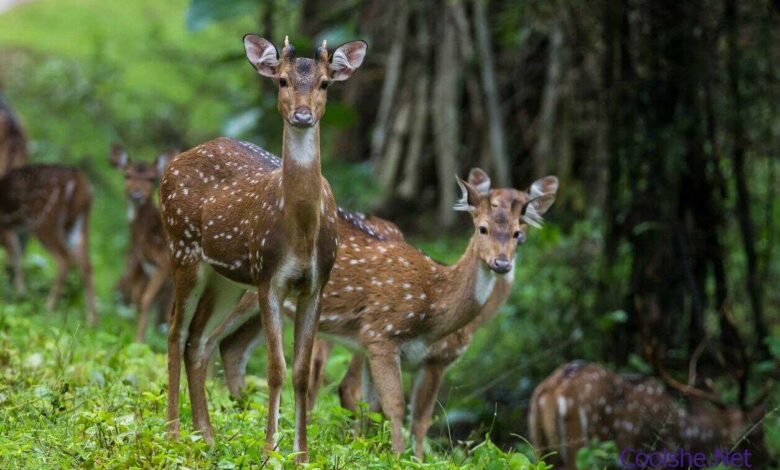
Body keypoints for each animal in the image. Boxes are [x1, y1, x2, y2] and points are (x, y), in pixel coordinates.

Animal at [0, 163, 96, 324]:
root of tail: (79, 179)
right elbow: (17, 257)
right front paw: (18, 294)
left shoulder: (6, 228)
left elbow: (15, 257)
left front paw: (19, 296)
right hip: (78, 224)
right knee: (86, 264)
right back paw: (91, 320)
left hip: (45, 219)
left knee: (64, 259)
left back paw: (48, 309)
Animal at [109, 143, 174, 342]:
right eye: (127, 175)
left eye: (152, 179)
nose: (137, 194)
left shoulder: (164, 262)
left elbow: (146, 301)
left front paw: (139, 341)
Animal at [159, 35, 368, 460]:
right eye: (282, 80)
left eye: (325, 83)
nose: (303, 115)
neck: (300, 233)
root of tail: (172, 164)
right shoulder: (269, 276)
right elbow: (276, 368)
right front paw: (270, 449)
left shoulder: (316, 284)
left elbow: (302, 372)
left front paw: (301, 454)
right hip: (182, 248)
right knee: (174, 331)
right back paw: (173, 433)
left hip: (226, 278)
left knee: (198, 341)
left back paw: (206, 436)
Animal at [218, 168, 560, 456]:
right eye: (482, 229)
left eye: (517, 233)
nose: (502, 263)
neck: (433, 304)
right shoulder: (386, 336)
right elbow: (397, 407)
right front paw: (399, 457)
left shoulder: (378, 344)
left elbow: (380, 408)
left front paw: (367, 450)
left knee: (231, 348)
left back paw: (242, 416)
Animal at [528, 358, 772, 468]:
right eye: (754, 433)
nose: (770, 460)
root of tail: (550, 388)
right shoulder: (655, 459)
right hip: (580, 445)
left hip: (540, 445)